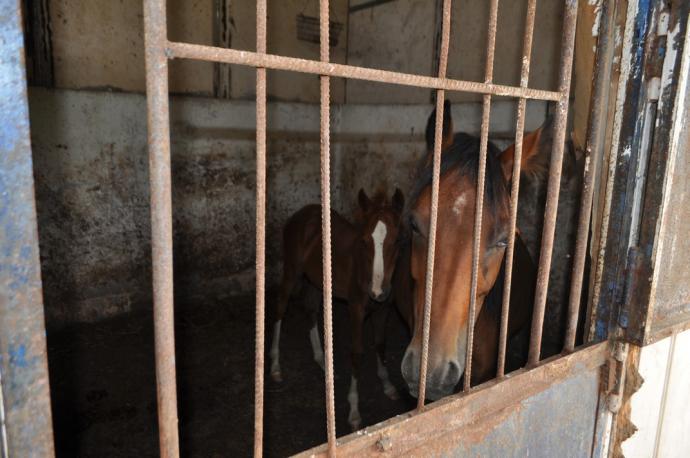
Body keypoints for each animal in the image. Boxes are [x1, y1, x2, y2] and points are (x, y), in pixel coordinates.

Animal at [270, 188, 405, 430]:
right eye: (364, 240)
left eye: (398, 239)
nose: (377, 292)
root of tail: (301, 214)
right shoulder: (356, 309)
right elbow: (357, 353)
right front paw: (354, 411)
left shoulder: (383, 309)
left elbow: (380, 343)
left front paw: (388, 384)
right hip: (292, 270)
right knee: (280, 307)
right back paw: (275, 366)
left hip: (316, 279)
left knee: (310, 309)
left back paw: (322, 360)